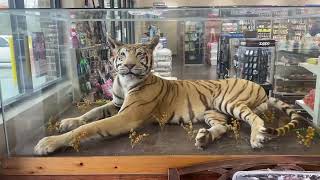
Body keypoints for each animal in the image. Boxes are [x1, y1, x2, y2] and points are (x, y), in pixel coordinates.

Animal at [33, 35, 304, 155]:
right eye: (122, 54)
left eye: (140, 54)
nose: (128, 65)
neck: (124, 82)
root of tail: (260, 87)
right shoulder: (116, 104)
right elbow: (90, 113)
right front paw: (67, 121)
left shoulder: (127, 115)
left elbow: (89, 127)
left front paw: (48, 143)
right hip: (213, 111)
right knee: (225, 126)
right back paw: (204, 138)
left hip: (228, 101)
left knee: (254, 118)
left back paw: (257, 137)